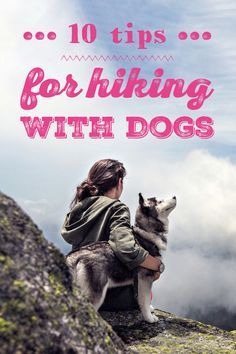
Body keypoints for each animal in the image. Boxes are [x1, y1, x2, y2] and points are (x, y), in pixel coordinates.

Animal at [65, 194, 176, 324]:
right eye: (160, 201)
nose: (175, 196)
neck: (146, 232)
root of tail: (75, 255)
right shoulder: (144, 278)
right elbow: (145, 300)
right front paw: (149, 318)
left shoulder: (138, 281)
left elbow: (145, 299)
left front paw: (150, 310)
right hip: (96, 292)